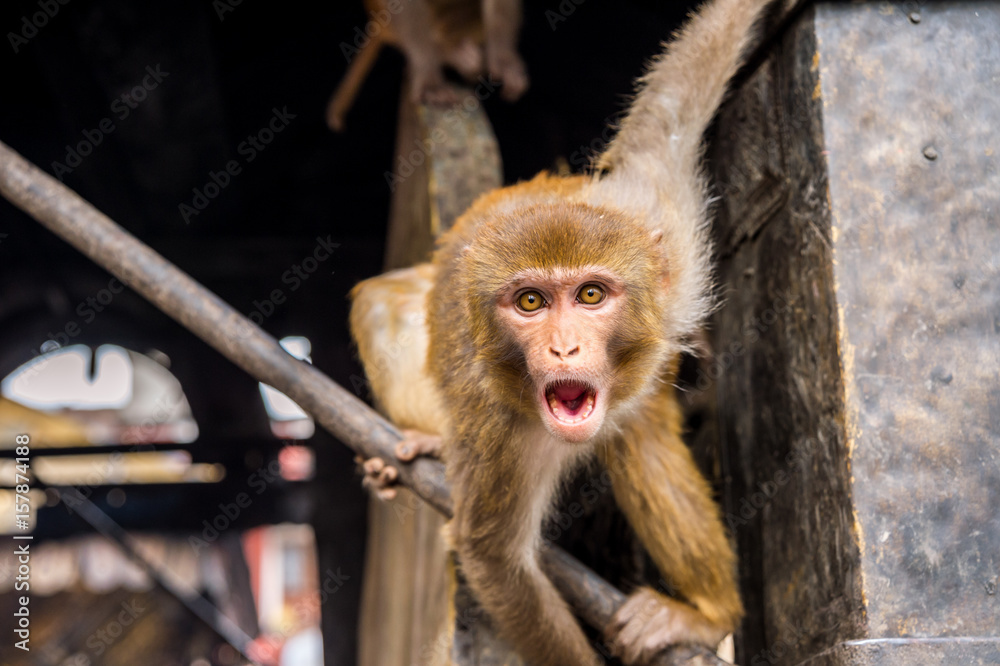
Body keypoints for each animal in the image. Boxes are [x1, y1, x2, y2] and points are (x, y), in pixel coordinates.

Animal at [349, 0, 777, 662]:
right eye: (531, 302)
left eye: (591, 295)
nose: (564, 345)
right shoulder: (493, 421)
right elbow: (494, 558)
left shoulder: (656, 222)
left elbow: (670, 108)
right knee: (378, 304)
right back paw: (425, 441)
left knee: (640, 442)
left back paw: (706, 615)